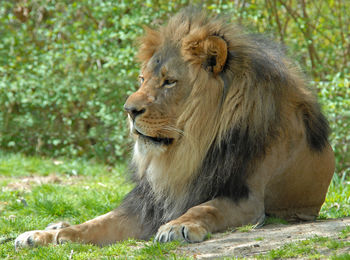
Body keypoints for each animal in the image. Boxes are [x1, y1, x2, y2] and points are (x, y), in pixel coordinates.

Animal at [15, 8, 334, 248]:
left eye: (169, 82)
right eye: (142, 79)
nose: (129, 110)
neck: (190, 149)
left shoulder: (247, 198)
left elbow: (205, 207)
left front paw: (177, 226)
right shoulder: (148, 203)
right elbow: (96, 223)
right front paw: (56, 235)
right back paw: (41, 231)